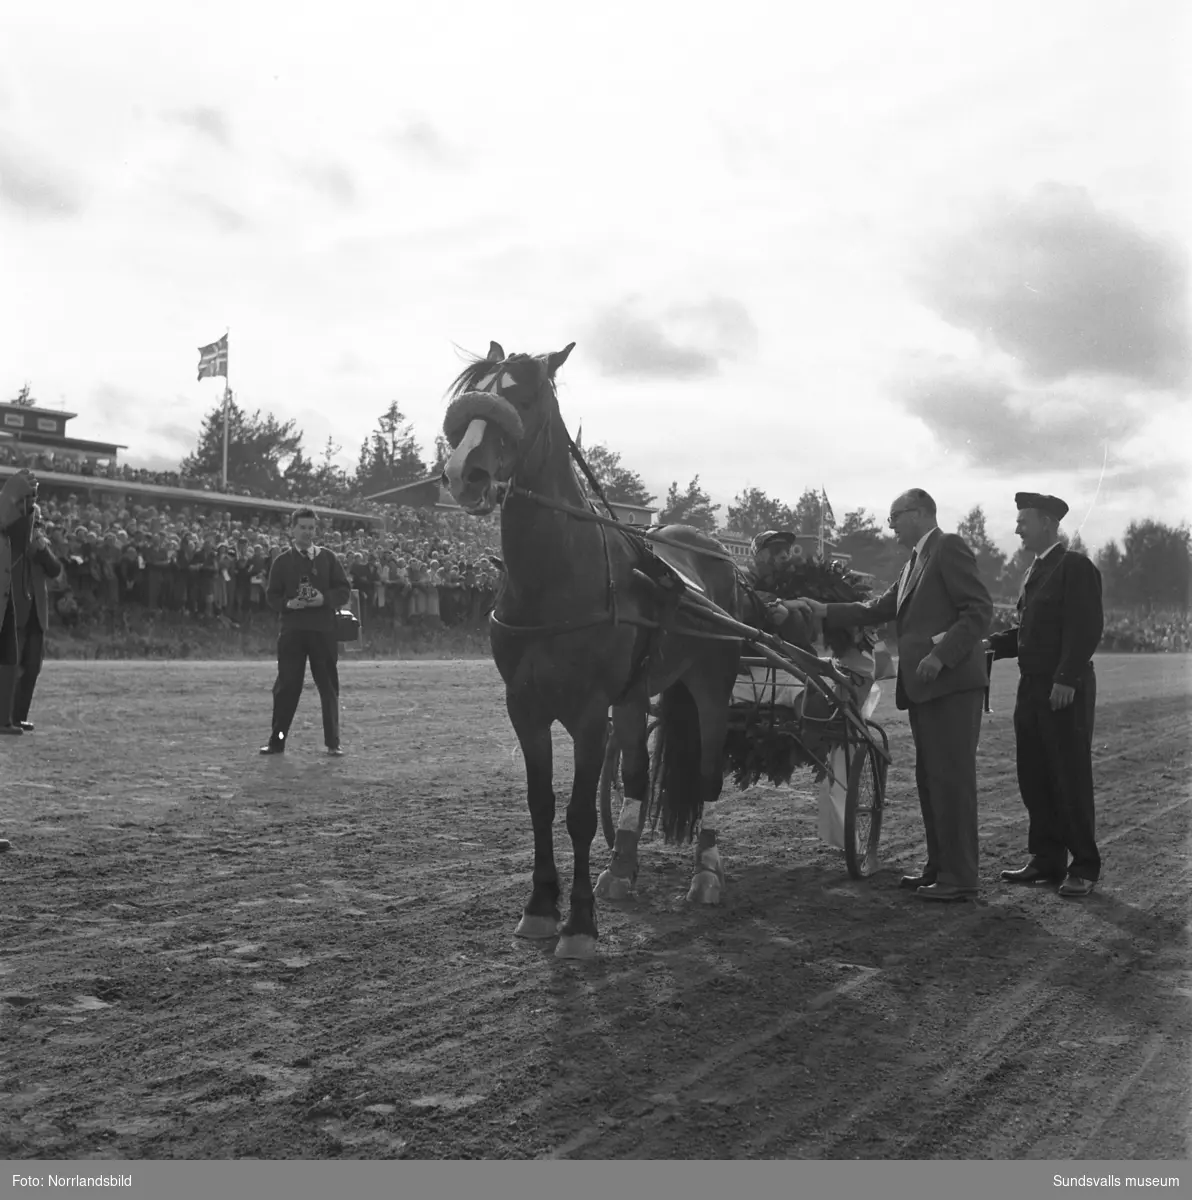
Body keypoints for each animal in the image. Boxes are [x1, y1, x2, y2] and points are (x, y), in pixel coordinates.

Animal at [441, 338, 744, 955]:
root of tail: (713, 550)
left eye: (524, 398)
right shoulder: (525, 708)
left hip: (711, 683)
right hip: (633, 696)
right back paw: (622, 870)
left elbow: (579, 813)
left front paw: (578, 924)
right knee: (636, 776)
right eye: (469, 398)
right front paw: (540, 908)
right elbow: (541, 804)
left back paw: (705, 873)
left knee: (708, 773)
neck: (556, 580)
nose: (465, 474)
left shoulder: (586, 713)